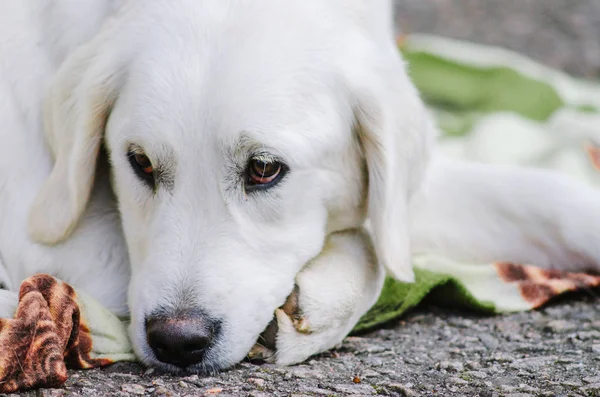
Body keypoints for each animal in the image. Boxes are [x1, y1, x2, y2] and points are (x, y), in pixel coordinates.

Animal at [1, 0, 600, 372]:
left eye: (265, 168)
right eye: (140, 163)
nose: (177, 342)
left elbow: (546, 199)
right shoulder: (57, 239)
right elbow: (376, 253)